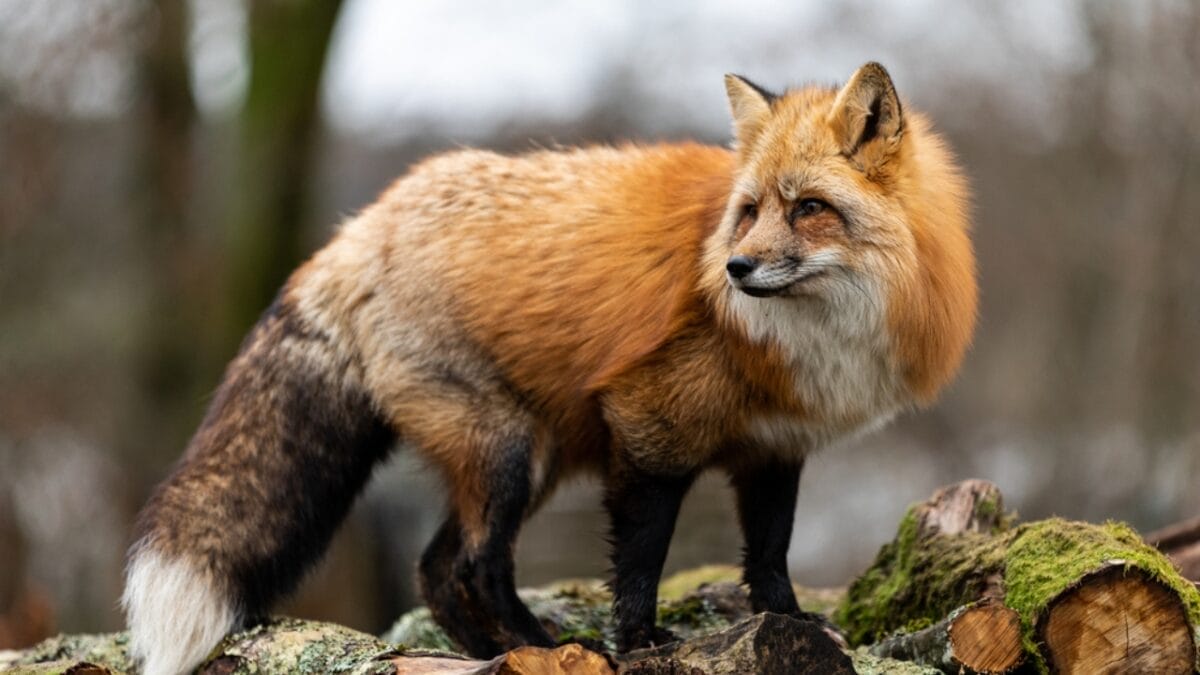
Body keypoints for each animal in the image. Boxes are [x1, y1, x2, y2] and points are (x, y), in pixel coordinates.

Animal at [122, 62, 975, 674]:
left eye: (807, 209)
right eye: (749, 212)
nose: (735, 269)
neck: (812, 339)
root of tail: (360, 226)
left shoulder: (775, 446)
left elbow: (768, 554)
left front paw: (794, 624)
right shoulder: (648, 422)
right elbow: (641, 556)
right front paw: (639, 642)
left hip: (530, 457)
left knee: (436, 569)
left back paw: (489, 654)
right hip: (508, 452)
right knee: (475, 564)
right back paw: (540, 645)